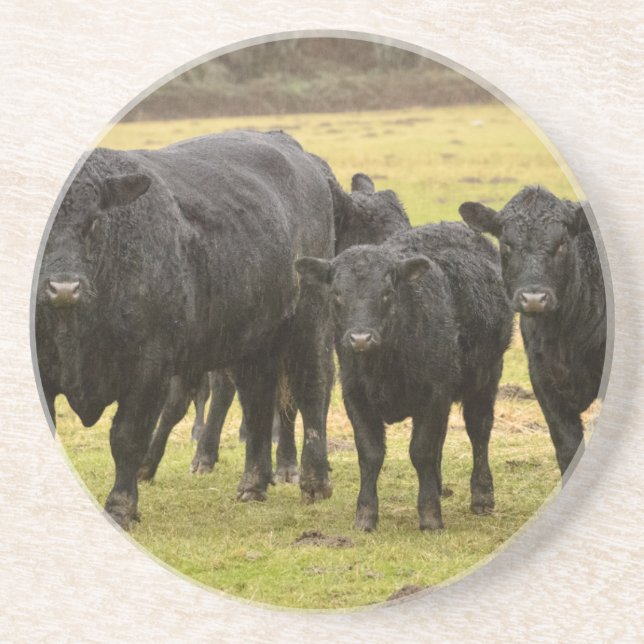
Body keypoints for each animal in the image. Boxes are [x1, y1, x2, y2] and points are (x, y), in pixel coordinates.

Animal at [36, 130, 336, 529]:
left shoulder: (149, 368)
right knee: (256, 400)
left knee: (311, 387)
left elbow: (127, 437)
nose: (64, 288)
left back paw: (314, 480)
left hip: (308, 321)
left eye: (94, 221)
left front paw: (121, 507)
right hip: (251, 341)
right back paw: (253, 483)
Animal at [295, 222, 513, 531]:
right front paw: (365, 516)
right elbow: (371, 454)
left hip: (486, 378)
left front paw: (430, 516)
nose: (360, 338)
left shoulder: (434, 393)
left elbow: (421, 451)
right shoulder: (355, 396)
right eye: (336, 294)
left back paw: (482, 496)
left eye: (387, 292)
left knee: (479, 431)